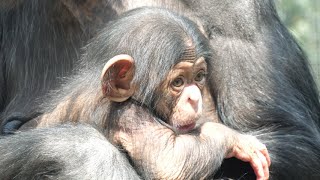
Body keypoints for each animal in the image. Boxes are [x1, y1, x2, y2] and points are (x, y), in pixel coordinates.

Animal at [0, 0, 320, 180]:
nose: (194, 97)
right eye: (178, 83)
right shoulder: (128, 116)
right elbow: (169, 161)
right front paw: (237, 140)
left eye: (199, 77)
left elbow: (289, 135)